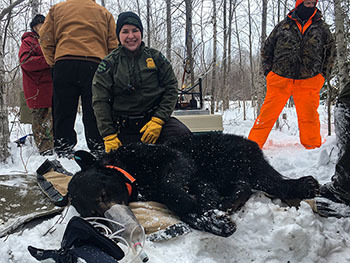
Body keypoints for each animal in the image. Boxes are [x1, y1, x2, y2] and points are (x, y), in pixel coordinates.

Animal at [65, 133, 320, 238]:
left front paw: (198, 205)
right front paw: (213, 219)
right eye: (94, 215)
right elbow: (195, 201)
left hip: (225, 156)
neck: (128, 171)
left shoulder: (169, 157)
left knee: (260, 180)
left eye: (102, 195)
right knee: (253, 183)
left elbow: (172, 179)